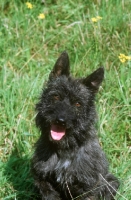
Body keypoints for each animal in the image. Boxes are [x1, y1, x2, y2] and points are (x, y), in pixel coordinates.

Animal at [31, 52, 119, 200]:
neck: (65, 149)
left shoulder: (88, 187)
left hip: (111, 182)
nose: (61, 120)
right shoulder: (42, 178)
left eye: (78, 104)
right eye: (56, 96)